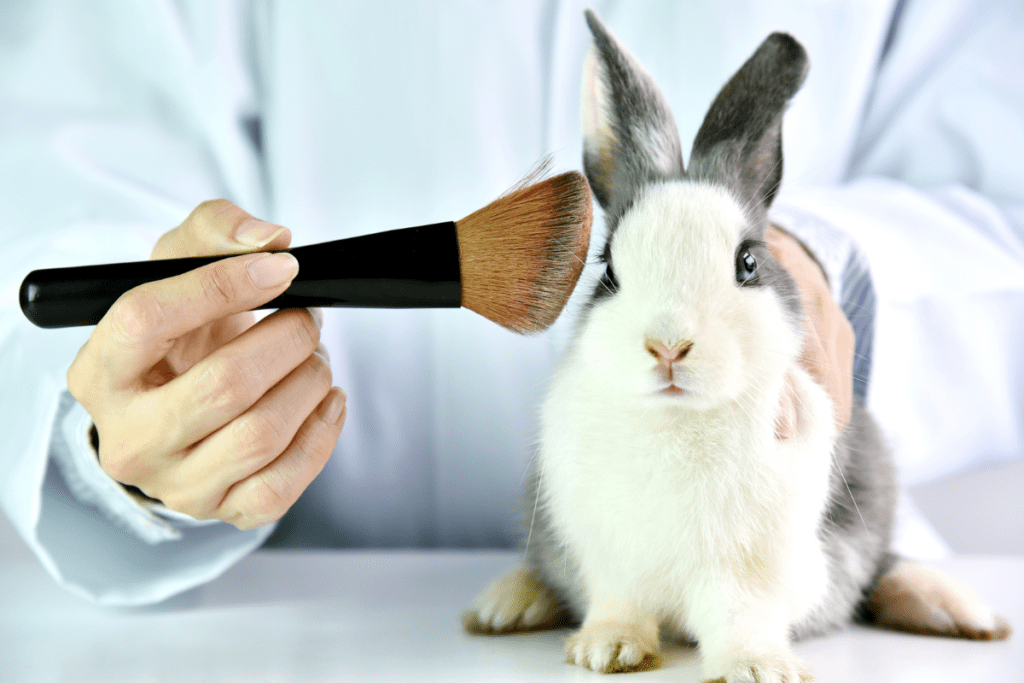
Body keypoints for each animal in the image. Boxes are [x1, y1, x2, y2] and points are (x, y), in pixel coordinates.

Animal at [463, 9, 1011, 682]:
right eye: (608, 270)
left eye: (748, 263)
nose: (668, 346)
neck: (678, 419)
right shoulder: (610, 555)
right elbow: (619, 602)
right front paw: (607, 650)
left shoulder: (753, 567)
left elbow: (741, 616)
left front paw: (757, 668)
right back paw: (506, 606)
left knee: (879, 570)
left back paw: (958, 612)